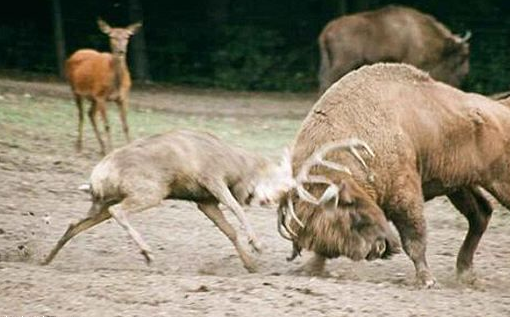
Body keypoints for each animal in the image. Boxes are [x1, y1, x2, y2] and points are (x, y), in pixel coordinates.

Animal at [66, 18, 141, 154]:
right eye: (112, 36)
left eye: (127, 36)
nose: (121, 51)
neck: (116, 84)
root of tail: (75, 53)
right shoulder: (101, 96)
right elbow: (107, 125)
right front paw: (111, 150)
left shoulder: (123, 97)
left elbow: (126, 125)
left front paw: (129, 146)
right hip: (75, 90)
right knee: (81, 115)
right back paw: (79, 146)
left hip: (93, 97)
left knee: (90, 114)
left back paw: (102, 147)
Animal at [280, 62, 510, 286]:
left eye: (352, 216)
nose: (375, 250)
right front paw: (310, 268)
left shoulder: (405, 196)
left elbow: (414, 239)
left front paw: (426, 280)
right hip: (458, 186)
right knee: (480, 214)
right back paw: (466, 274)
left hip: (498, 184)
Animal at [318, 5, 470, 94]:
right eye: (462, 56)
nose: (465, 75)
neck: (418, 32)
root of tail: (328, 30)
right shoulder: (411, 61)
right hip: (343, 64)